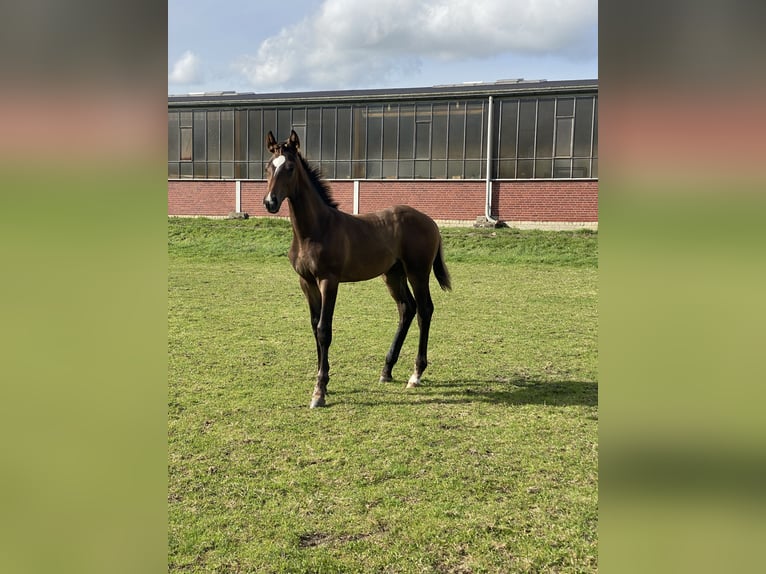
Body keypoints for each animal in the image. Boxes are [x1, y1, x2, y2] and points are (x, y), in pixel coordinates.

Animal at [264, 130, 452, 410]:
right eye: (268, 167)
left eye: (289, 167)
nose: (270, 202)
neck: (315, 229)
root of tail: (430, 221)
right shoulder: (306, 282)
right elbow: (314, 326)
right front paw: (324, 382)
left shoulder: (329, 281)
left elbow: (324, 330)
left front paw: (319, 392)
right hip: (393, 274)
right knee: (407, 308)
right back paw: (387, 370)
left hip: (417, 272)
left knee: (424, 310)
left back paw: (415, 375)